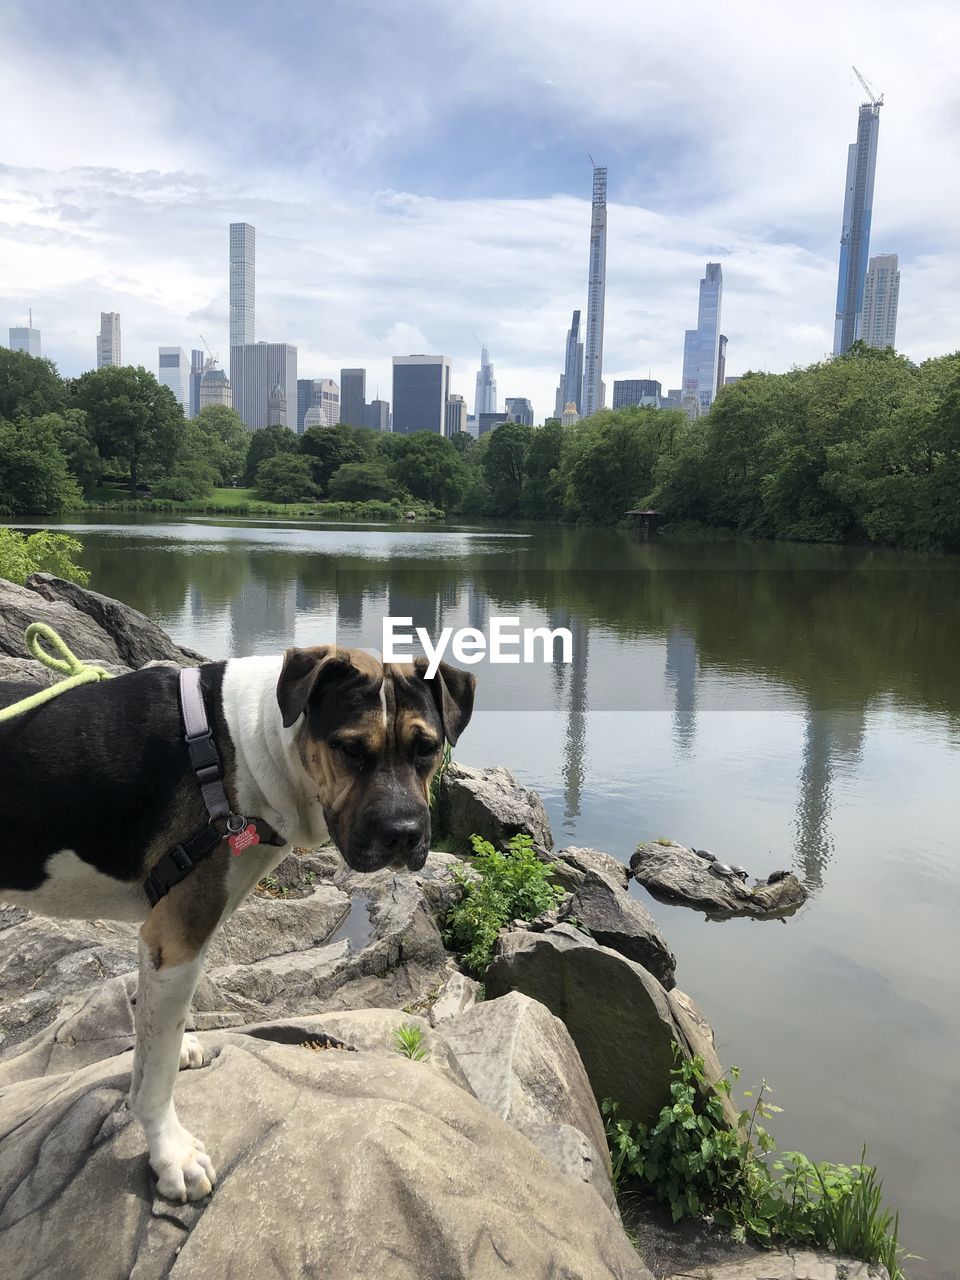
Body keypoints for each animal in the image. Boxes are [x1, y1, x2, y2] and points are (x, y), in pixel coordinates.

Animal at [0, 650, 478, 1198]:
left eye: (428, 748)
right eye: (349, 749)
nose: (403, 835)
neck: (247, 750)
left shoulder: (159, 943)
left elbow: (154, 1036)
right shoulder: (177, 938)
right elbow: (155, 1078)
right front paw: (171, 1154)